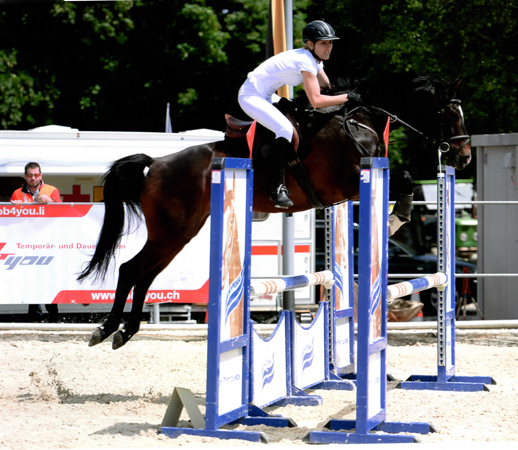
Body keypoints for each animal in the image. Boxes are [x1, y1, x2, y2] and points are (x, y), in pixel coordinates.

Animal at [79, 74, 474, 350]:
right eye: (447, 113)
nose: (464, 157)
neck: (356, 123)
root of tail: (156, 164)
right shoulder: (344, 182)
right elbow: (405, 176)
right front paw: (396, 217)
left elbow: (404, 176)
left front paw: (396, 216)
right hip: (172, 231)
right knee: (131, 269)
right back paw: (106, 329)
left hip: (178, 233)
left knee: (144, 275)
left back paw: (124, 330)